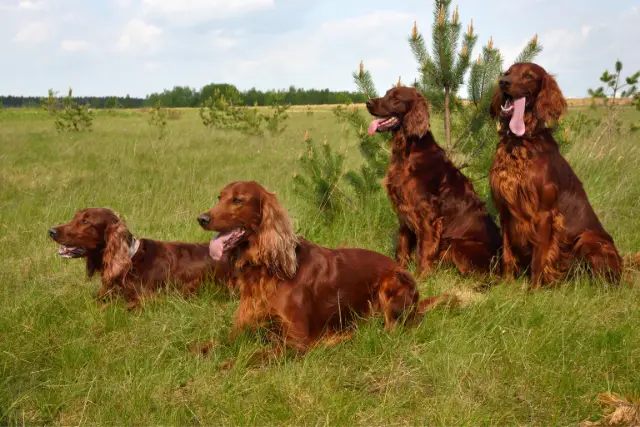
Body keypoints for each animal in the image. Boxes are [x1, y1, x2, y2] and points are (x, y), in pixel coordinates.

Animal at [198, 182, 458, 352]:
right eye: (219, 197)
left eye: (238, 200)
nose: (202, 219)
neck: (266, 270)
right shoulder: (242, 329)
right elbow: (211, 345)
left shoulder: (295, 341)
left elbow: (253, 356)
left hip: (391, 284)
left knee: (392, 331)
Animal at [364, 88, 500, 278]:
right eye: (386, 94)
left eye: (395, 98)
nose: (367, 103)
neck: (408, 149)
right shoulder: (404, 211)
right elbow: (402, 246)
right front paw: (400, 271)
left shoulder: (427, 214)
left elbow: (423, 250)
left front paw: (422, 277)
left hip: (457, 244)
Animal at [490, 62, 620, 288]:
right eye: (507, 72)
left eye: (528, 75)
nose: (503, 82)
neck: (520, 142)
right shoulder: (505, 210)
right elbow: (507, 253)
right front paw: (506, 284)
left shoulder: (544, 214)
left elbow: (538, 258)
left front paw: (533, 290)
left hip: (587, 239)